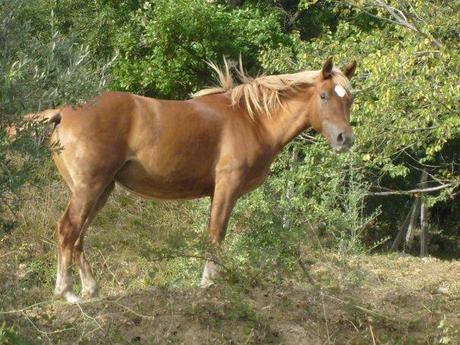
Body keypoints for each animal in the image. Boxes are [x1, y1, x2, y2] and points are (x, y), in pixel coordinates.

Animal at [33, 57, 356, 300]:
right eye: (324, 96)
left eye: (349, 99)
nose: (345, 139)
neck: (253, 119)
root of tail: (62, 112)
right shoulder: (226, 188)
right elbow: (216, 235)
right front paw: (209, 283)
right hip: (89, 188)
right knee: (67, 229)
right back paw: (66, 292)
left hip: (102, 189)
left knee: (79, 235)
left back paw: (90, 288)